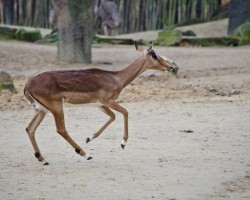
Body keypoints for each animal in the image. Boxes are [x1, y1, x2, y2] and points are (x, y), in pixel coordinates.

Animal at [23, 41, 178, 165]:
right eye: (154, 55)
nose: (170, 67)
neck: (116, 78)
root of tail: (28, 85)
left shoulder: (100, 104)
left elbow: (113, 116)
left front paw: (89, 138)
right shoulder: (107, 101)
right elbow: (125, 112)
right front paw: (123, 143)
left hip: (42, 109)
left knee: (30, 128)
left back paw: (42, 159)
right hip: (56, 107)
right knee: (61, 130)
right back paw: (86, 155)